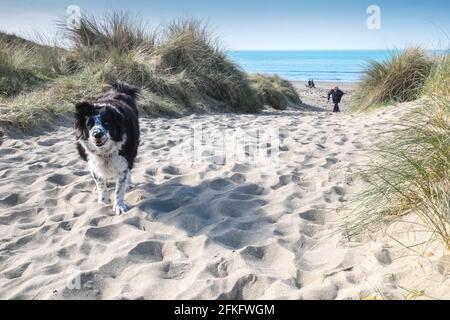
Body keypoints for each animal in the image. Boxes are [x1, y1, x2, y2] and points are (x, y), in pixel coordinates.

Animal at [74, 82, 140, 215]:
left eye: (106, 123)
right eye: (89, 124)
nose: (97, 134)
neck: (104, 152)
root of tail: (120, 90)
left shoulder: (123, 161)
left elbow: (119, 188)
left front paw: (119, 206)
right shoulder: (92, 161)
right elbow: (100, 183)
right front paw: (103, 202)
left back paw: (129, 183)